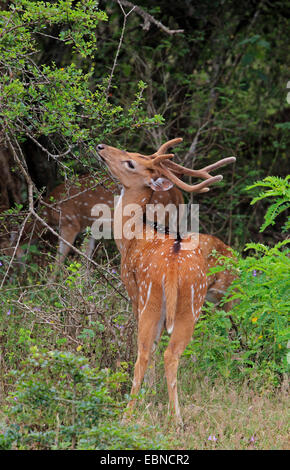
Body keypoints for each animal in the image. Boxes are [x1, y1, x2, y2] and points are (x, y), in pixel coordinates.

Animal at [96, 139, 234, 422]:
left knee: (146, 354)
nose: (101, 147)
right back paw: (175, 416)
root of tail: (172, 269)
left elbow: (149, 350)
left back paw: (133, 415)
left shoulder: (133, 291)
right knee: (174, 353)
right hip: (192, 303)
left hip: (152, 300)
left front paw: (146, 396)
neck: (131, 238)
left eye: (131, 163)